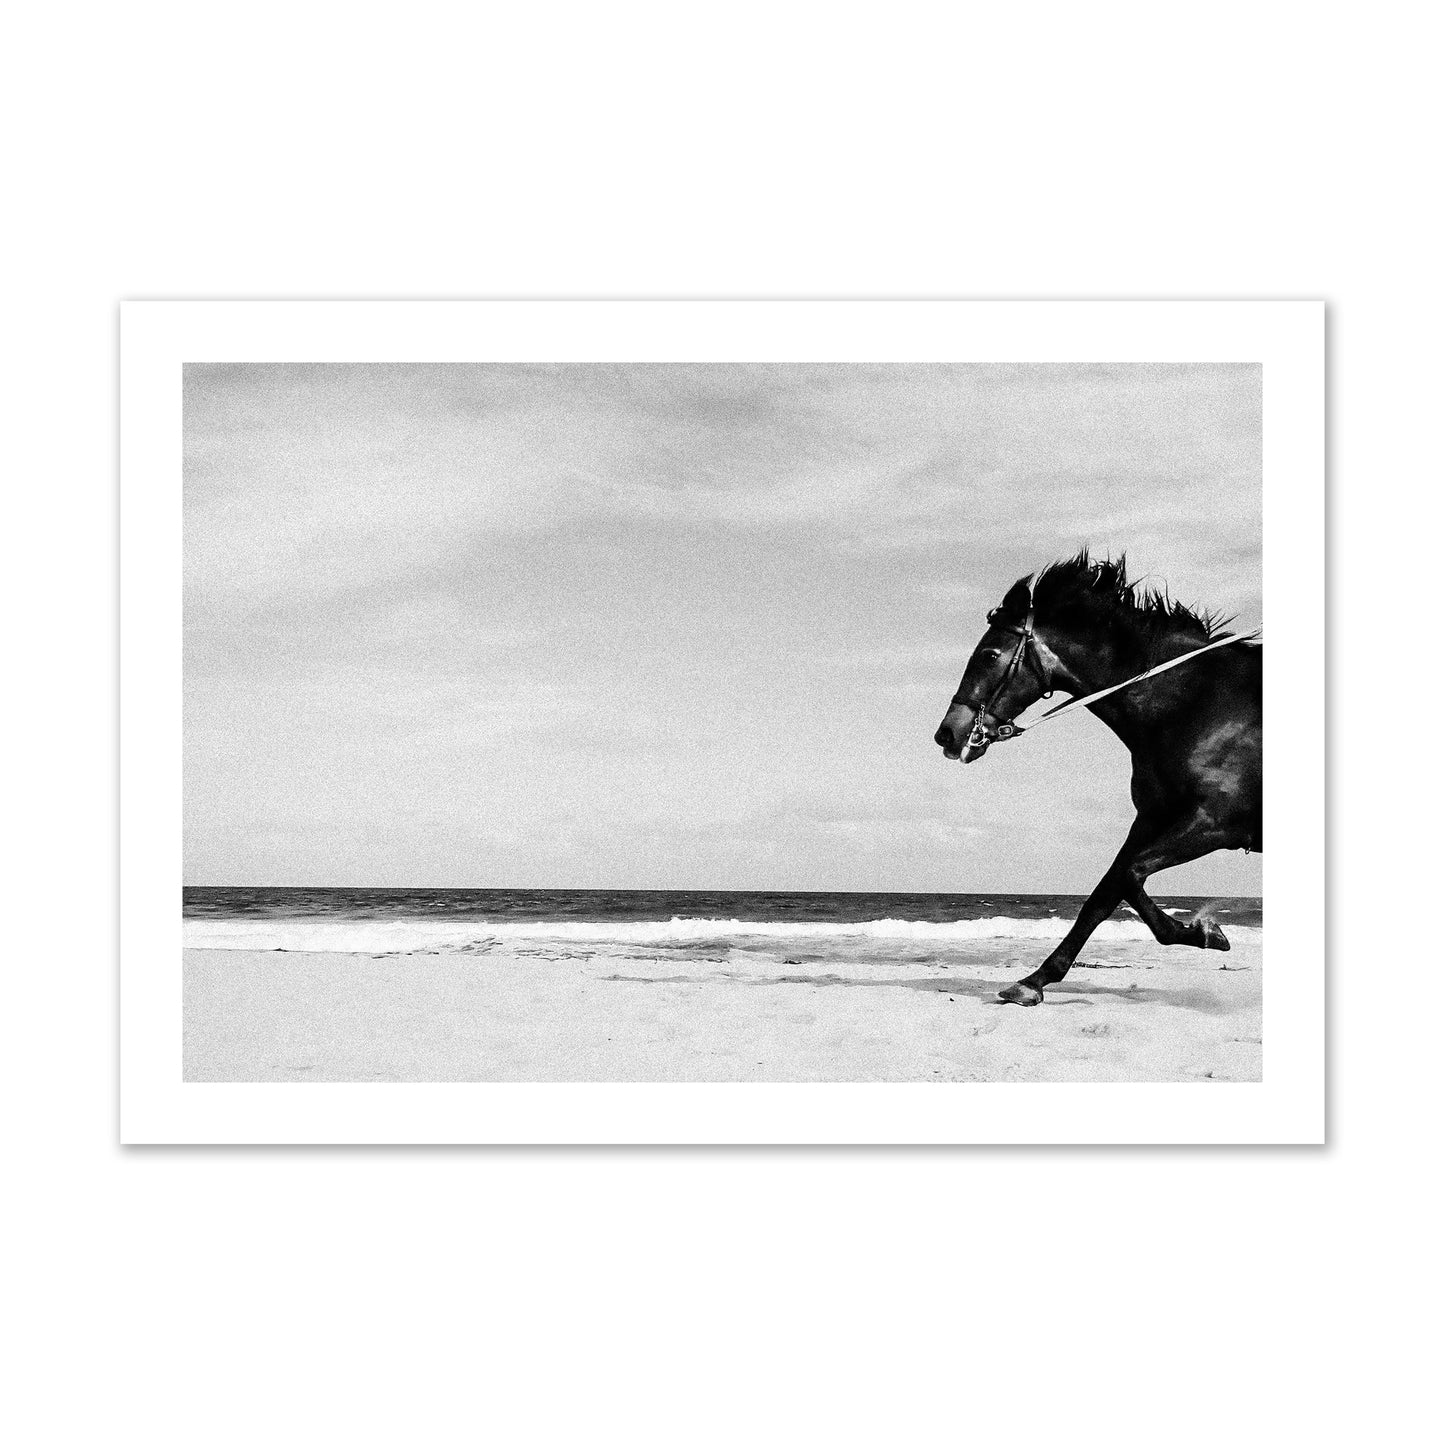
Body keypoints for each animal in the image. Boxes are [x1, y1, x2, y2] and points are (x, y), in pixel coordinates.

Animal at [933, 552, 1262, 1006]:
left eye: (990, 654)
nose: (948, 734)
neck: (1196, 704)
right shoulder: (1153, 819)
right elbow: (1105, 893)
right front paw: (1033, 980)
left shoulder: (1215, 823)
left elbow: (1128, 876)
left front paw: (1204, 931)